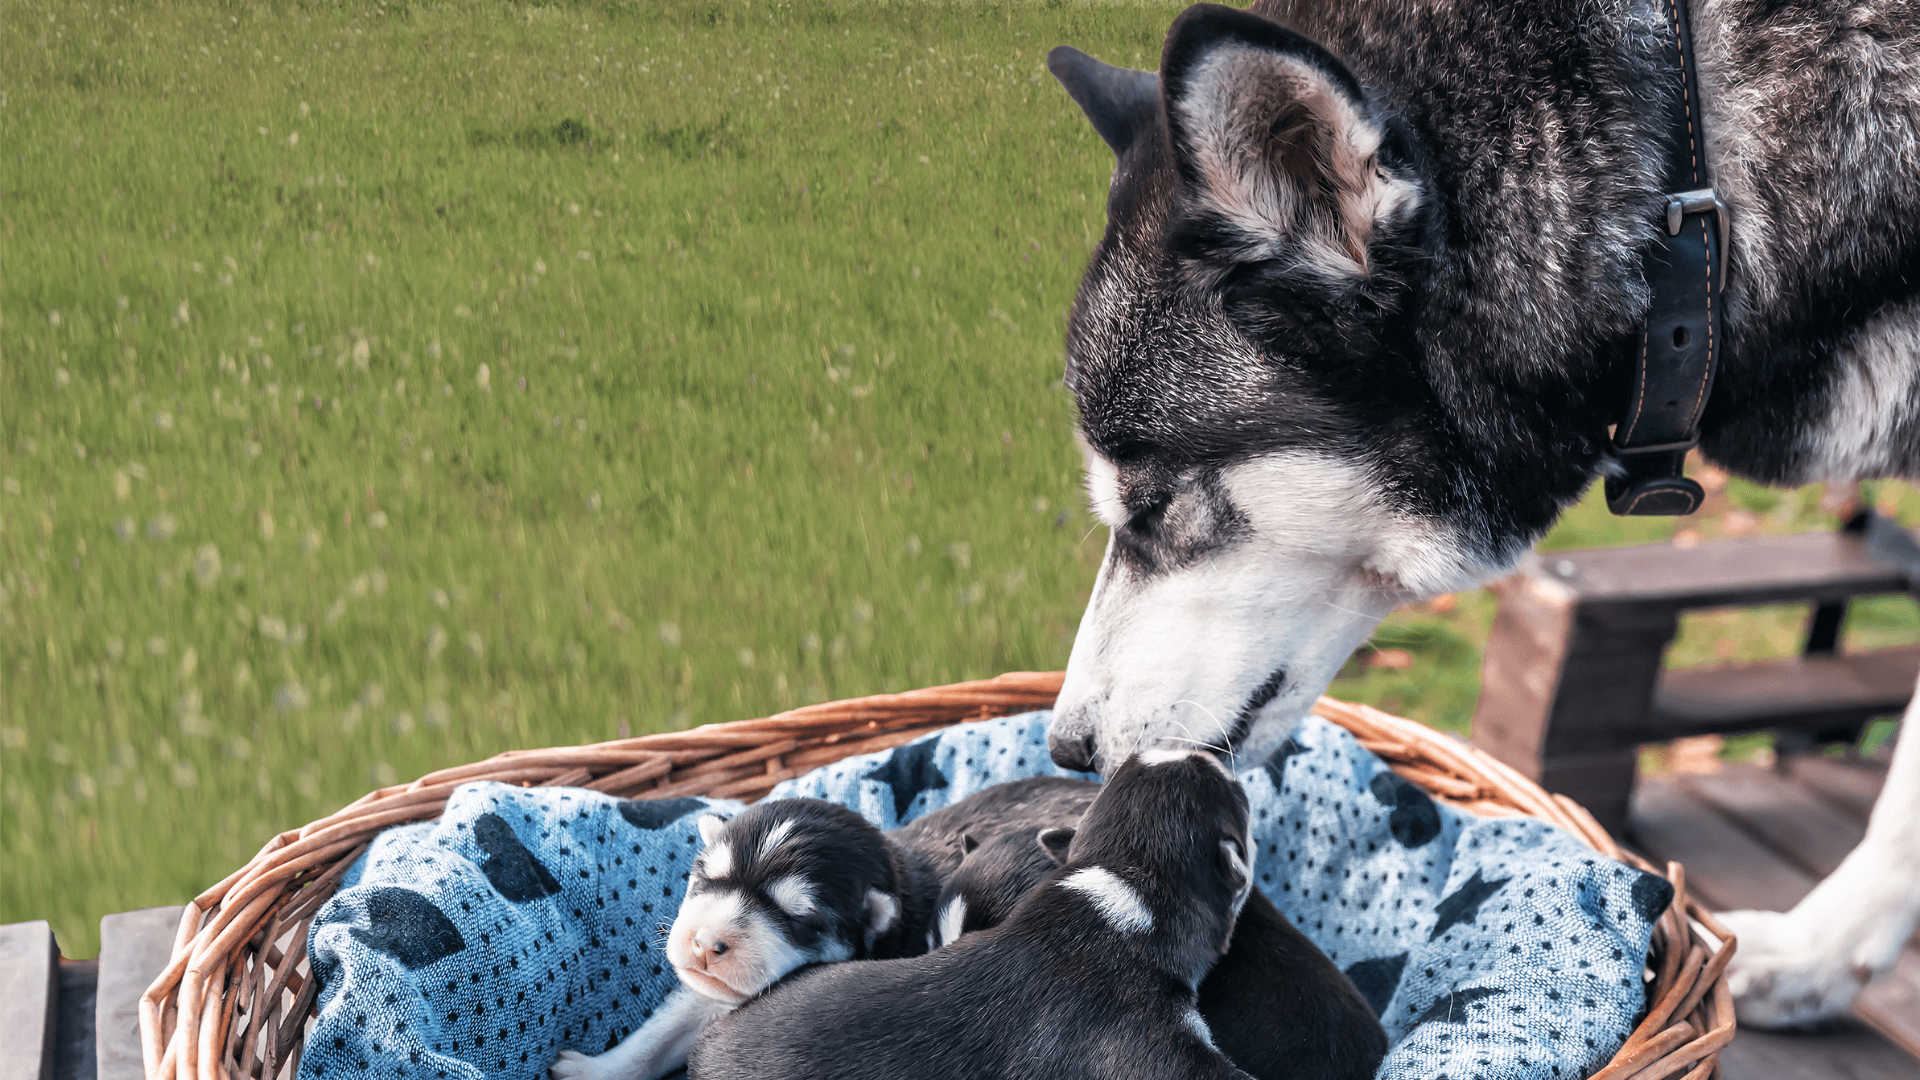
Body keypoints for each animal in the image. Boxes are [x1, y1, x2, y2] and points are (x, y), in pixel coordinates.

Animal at [552, 795, 940, 1076]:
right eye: (706, 879)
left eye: (797, 919)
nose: (706, 944)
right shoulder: (703, 998)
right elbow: (659, 1035)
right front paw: (592, 1070)